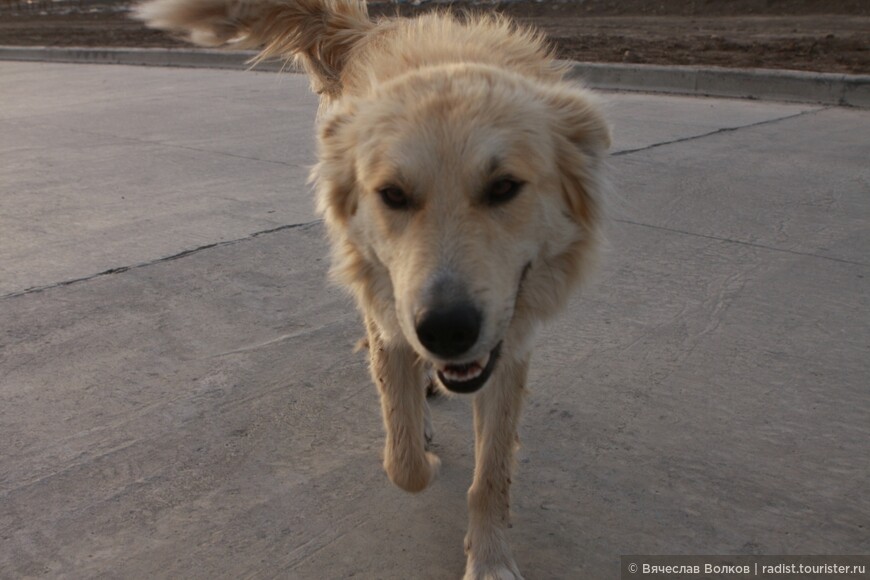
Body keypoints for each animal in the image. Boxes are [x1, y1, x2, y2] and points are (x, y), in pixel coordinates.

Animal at [138, 2, 612, 576]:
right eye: (393, 194)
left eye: (504, 187)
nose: (446, 331)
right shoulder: (389, 319)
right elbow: (402, 461)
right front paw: (426, 457)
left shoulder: (509, 347)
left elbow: (492, 474)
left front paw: (491, 559)